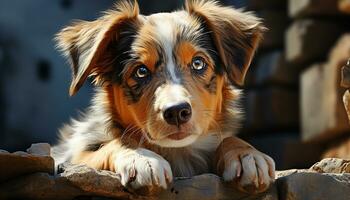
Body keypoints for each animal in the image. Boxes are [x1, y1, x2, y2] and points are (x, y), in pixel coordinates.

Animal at [52, 0, 276, 194]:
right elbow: (115, 143)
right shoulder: (73, 156)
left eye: (198, 63)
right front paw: (141, 158)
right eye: (141, 71)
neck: (178, 152)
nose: (177, 111)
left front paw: (248, 155)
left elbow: (228, 138)